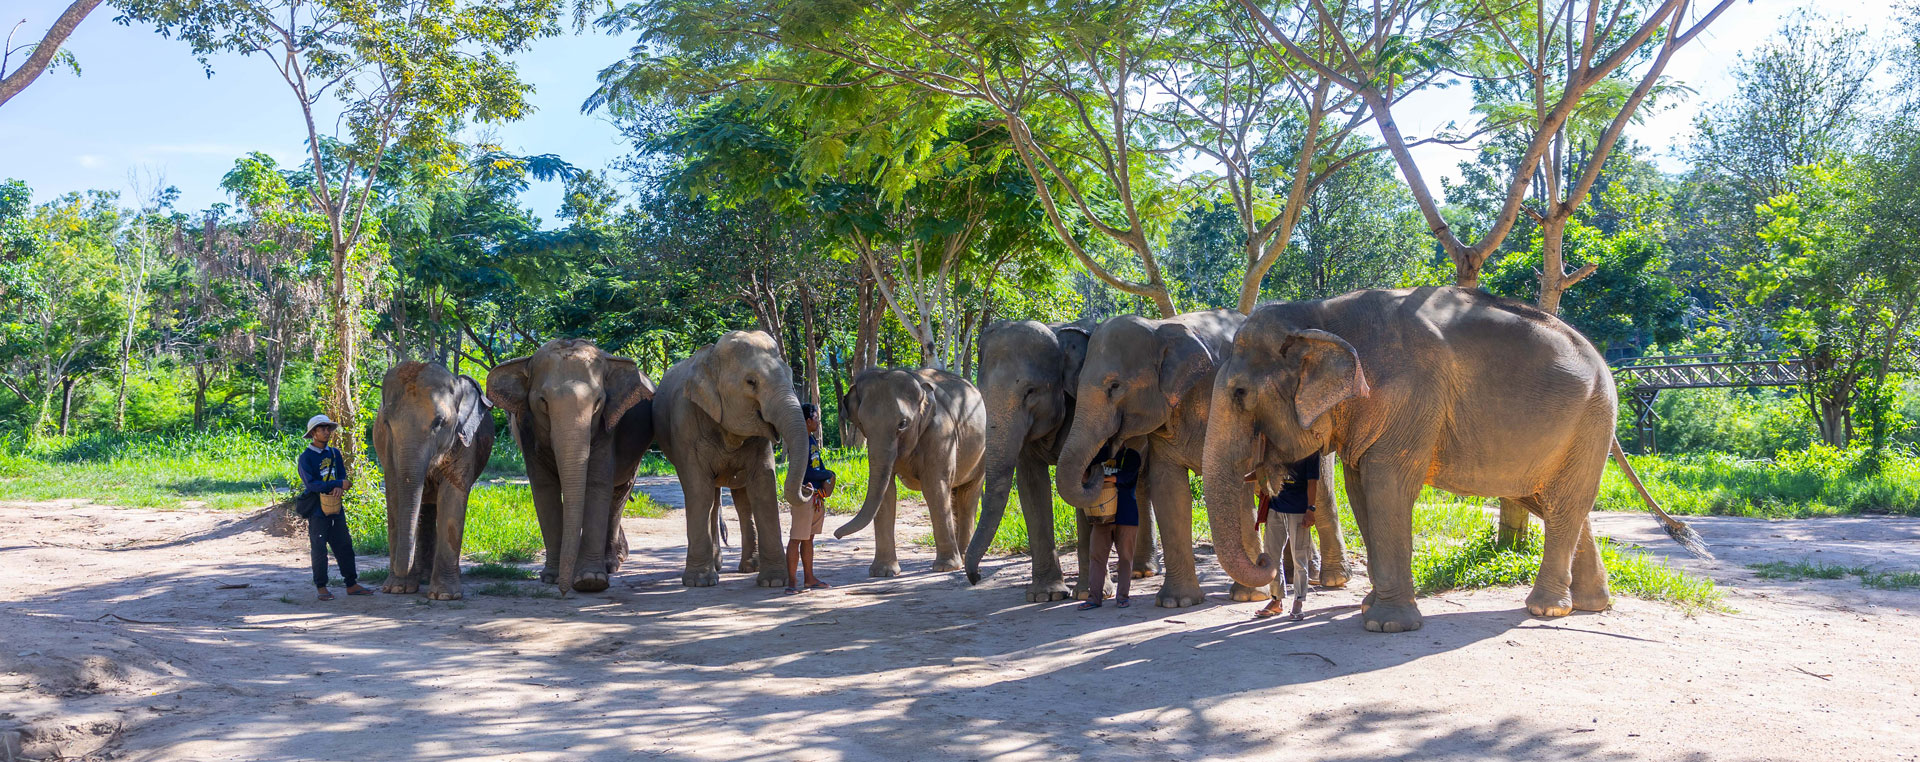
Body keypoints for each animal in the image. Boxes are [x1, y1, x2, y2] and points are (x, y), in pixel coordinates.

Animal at [370, 358, 495, 595]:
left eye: (439, 422)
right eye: (387, 423)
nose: (399, 567)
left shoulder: (465, 442)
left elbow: (451, 497)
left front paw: (445, 595)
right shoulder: (387, 448)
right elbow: (395, 495)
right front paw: (397, 589)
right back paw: (421, 577)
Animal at [483, 337, 656, 595]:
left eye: (598, 403)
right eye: (543, 402)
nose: (564, 593)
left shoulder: (608, 428)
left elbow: (596, 484)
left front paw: (590, 581)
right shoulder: (526, 430)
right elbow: (545, 490)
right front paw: (552, 578)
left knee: (619, 495)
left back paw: (611, 563)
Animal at [656, 328, 814, 587]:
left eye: (791, 377)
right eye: (751, 382)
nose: (809, 487)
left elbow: (763, 486)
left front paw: (773, 582)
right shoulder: (685, 425)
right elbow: (698, 490)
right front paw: (699, 582)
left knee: (742, 502)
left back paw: (749, 566)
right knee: (711, 499)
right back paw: (717, 566)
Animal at [829, 364, 983, 571]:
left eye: (902, 424)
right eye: (862, 423)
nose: (836, 535)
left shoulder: (940, 433)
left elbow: (934, 487)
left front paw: (946, 567)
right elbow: (887, 491)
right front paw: (883, 572)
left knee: (968, 494)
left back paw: (964, 558)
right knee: (956, 492)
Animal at [1190, 284, 1704, 629]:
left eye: (1239, 394)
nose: (1264, 559)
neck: (1319, 312)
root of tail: (1606, 364)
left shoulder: (1411, 396)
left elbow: (1387, 484)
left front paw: (1385, 624)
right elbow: (1361, 487)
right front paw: (1371, 609)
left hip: (1593, 418)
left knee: (1564, 505)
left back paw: (1545, 609)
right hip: (1577, 431)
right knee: (1557, 503)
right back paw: (1591, 605)